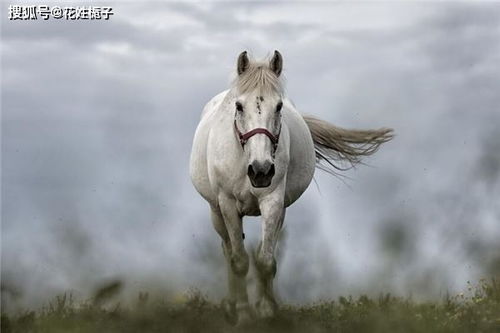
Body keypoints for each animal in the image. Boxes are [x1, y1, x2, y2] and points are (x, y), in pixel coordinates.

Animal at [189, 50, 392, 322]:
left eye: (279, 106)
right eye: (239, 106)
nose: (261, 171)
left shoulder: (273, 202)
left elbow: (266, 260)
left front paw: (266, 310)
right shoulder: (228, 204)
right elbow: (239, 261)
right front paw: (243, 314)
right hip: (216, 211)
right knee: (228, 250)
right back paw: (231, 304)